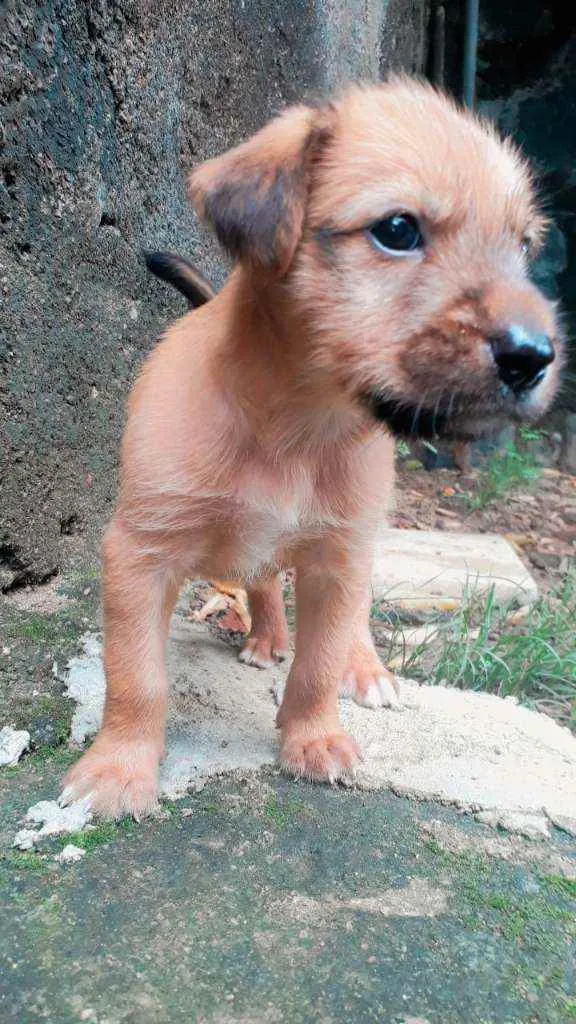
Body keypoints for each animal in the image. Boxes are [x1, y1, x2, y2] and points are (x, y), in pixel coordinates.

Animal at [61, 75, 561, 819]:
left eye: (523, 245)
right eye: (397, 230)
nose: (535, 358)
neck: (296, 426)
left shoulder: (337, 556)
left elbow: (319, 662)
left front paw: (315, 737)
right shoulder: (139, 555)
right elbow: (136, 676)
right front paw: (117, 769)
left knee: (347, 618)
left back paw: (366, 668)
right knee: (263, 580)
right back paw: (267, 635)